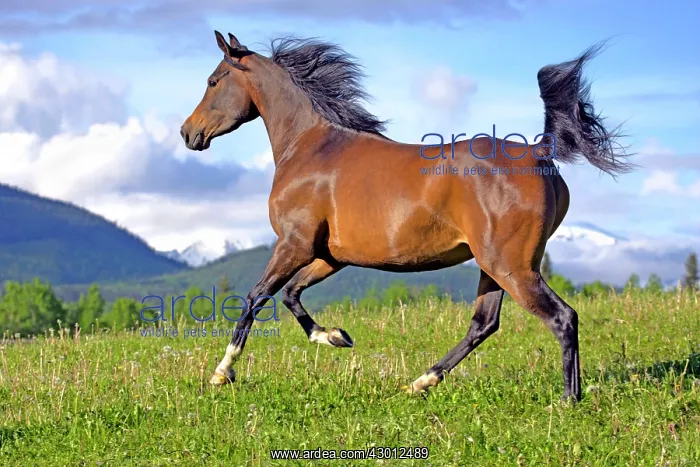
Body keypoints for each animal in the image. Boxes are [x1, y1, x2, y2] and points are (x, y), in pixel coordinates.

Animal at [180, 30, 632, 402]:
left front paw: (222, 372)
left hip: (512, 267)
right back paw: (420, 382)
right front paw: (336, 337)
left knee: (562, 318)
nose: (188, 133)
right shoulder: (329, 256)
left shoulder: (294, 244)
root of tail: (540, 151)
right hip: (493, 267)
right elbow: (292, 294)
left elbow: (256, 297)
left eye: (213, 80)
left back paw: (569, 400)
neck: (310, 147)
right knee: (483, 323)